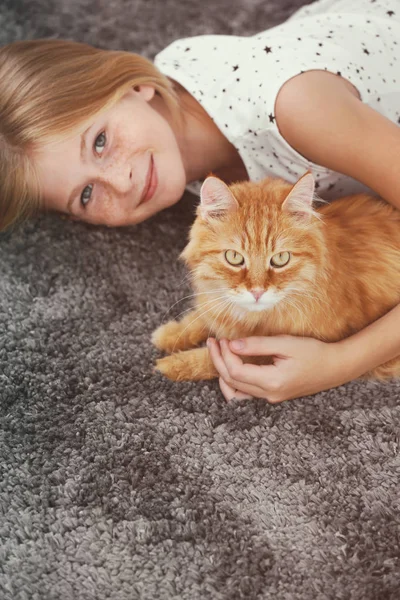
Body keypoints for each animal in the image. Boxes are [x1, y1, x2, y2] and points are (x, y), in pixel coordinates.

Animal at [152, 171, 400, 382]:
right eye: (234, 257)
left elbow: (213, 358)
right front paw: (168, 334)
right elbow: (198, 319)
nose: (257, 292)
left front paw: (172, 364)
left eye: (281, 258)